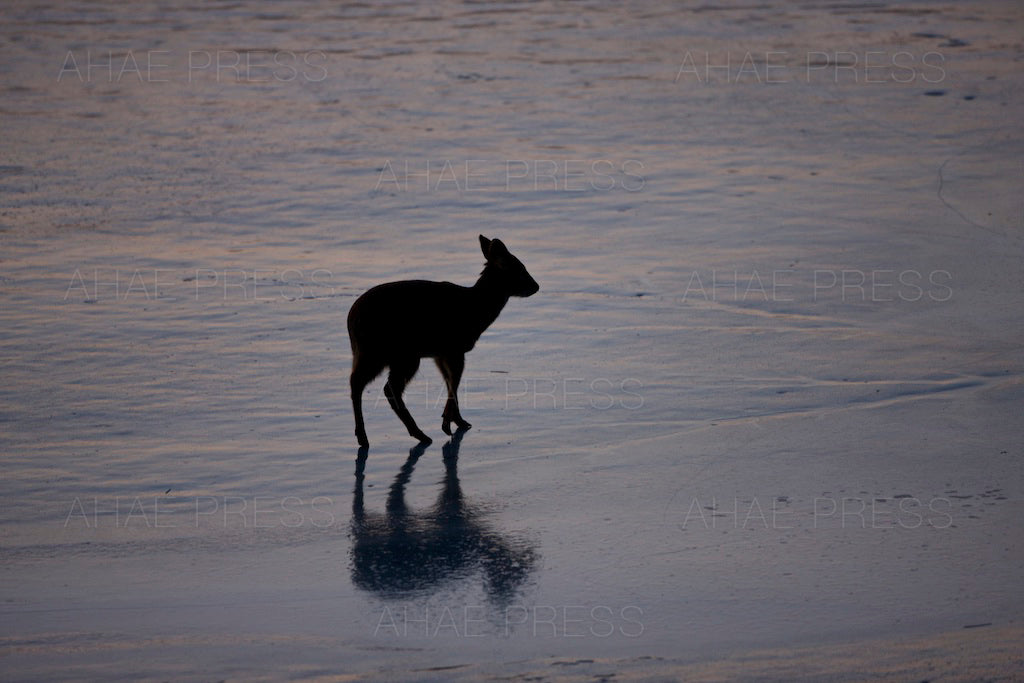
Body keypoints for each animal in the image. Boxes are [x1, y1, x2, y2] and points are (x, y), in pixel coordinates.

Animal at [347, 235, 539, 448]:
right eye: (519, 269)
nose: (536, 286)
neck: (476, 308)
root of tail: (351, 322)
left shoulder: (440, 353)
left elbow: (449, 381)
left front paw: (458, 420)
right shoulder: (454, 347)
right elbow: (454, 381)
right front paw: (447, 424)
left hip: (376, 353)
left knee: (360, 382)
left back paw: (367, 436)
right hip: (396, 353)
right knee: (386, 387)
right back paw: (415, 434)